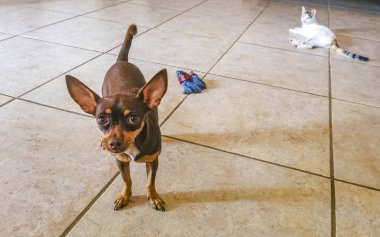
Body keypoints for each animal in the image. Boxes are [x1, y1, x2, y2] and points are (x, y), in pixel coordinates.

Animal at [65, 24, 168, 212]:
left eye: (134, 118)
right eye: (101, 119)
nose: (113, 144)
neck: (134, 143)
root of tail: (122, 61)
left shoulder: (153, 161)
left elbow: (150, 182)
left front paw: (154, 198)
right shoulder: (120, 161)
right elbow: (127, 180)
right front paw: (124, 196)